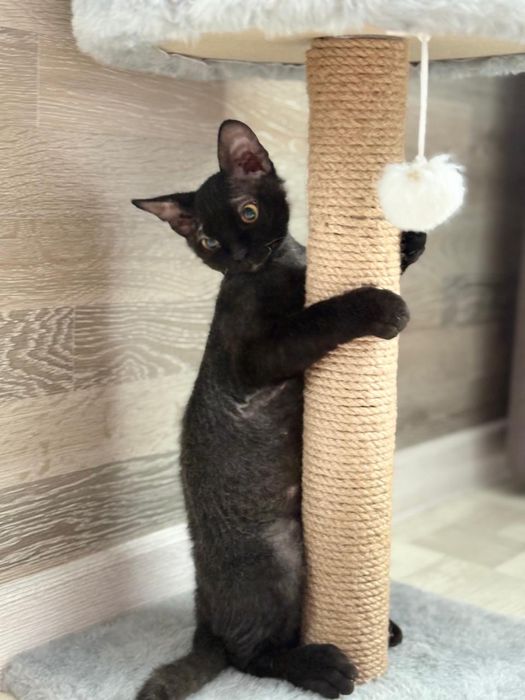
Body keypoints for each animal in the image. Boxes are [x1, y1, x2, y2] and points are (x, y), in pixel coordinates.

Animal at [132, 120, 426, 700]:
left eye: (248, 213)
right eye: (208, 241)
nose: (240, 255)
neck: (280, 264)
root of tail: (204, 613)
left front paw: (407, 240)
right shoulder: (255, 357)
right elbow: (318, 317)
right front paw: (379, 305)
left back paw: (378, 632)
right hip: (279, 556)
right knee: (248, 654)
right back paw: (323, 666)